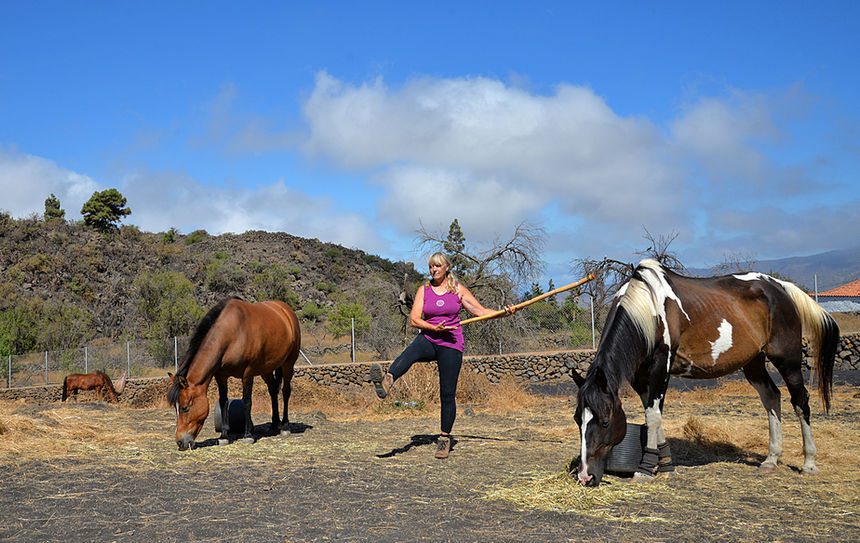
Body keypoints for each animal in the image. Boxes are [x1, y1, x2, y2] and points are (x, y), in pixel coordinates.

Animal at [167, 297, 301, 451]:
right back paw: (274, 424)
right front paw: (224, 436)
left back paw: (285, 426)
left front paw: (248, 435)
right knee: (273, 391)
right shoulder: (221, 375)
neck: (232, 333)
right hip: (266, 369)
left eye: (185, 408)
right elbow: (223, 401)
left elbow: (247, 401)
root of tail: (287, 311)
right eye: (175, 407)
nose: (180, 442)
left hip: (288, 364)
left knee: (285, 391)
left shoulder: (248, 372)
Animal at [573, 259, 839, 487]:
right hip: (753, 363)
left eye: (605, 422)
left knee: (801, 401)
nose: (586, 476)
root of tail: (780, 287)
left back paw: (809, 463)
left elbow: (653, 417)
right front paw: (666, 465)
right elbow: (654, 417)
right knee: (772, 397)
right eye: (578, 420)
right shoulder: (641, 377)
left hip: (788, 360)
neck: (648, 307)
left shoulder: (661, 367)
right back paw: (771, 459)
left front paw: (645, 470)